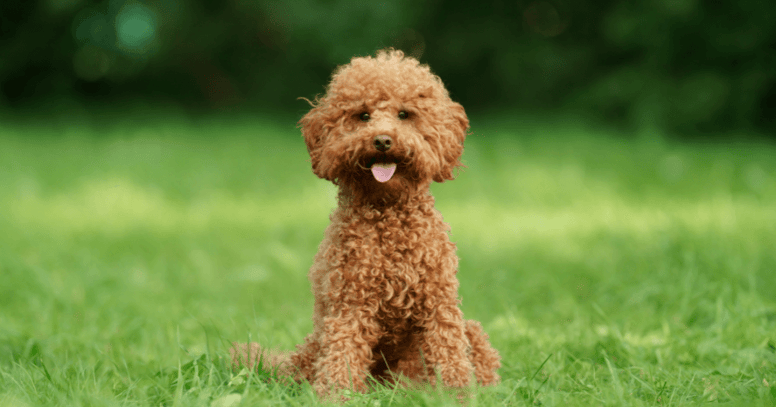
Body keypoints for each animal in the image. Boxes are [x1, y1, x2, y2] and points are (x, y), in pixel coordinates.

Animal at [230, 47, 500, 398]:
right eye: (363, 115)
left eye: (404, 114)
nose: (383, 140)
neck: (388, 214)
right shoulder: (350, 301)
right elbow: (343, 349)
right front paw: (335, 394)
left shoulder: (438, 302)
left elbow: (449, 350)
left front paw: (456, 395)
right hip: (314, 347)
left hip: (472, 332)